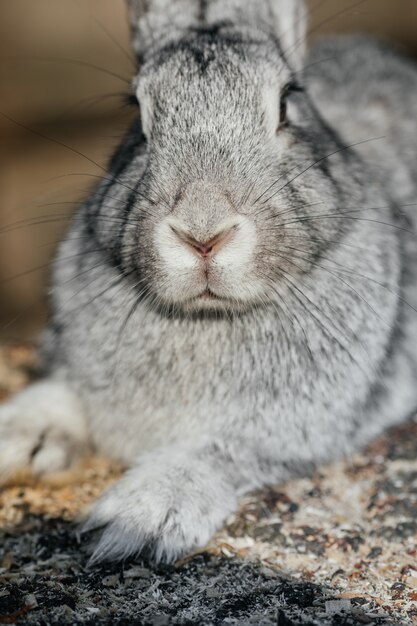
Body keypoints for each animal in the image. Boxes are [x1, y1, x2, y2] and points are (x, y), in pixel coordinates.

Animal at [0, 0, 416, 564]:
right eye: (136, 113)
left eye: (287, 104)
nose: (202, 232)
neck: (208, 313)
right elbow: (62, 395)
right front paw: (16, 437)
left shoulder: (289, 431)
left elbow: (217, 453)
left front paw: (138, 519)